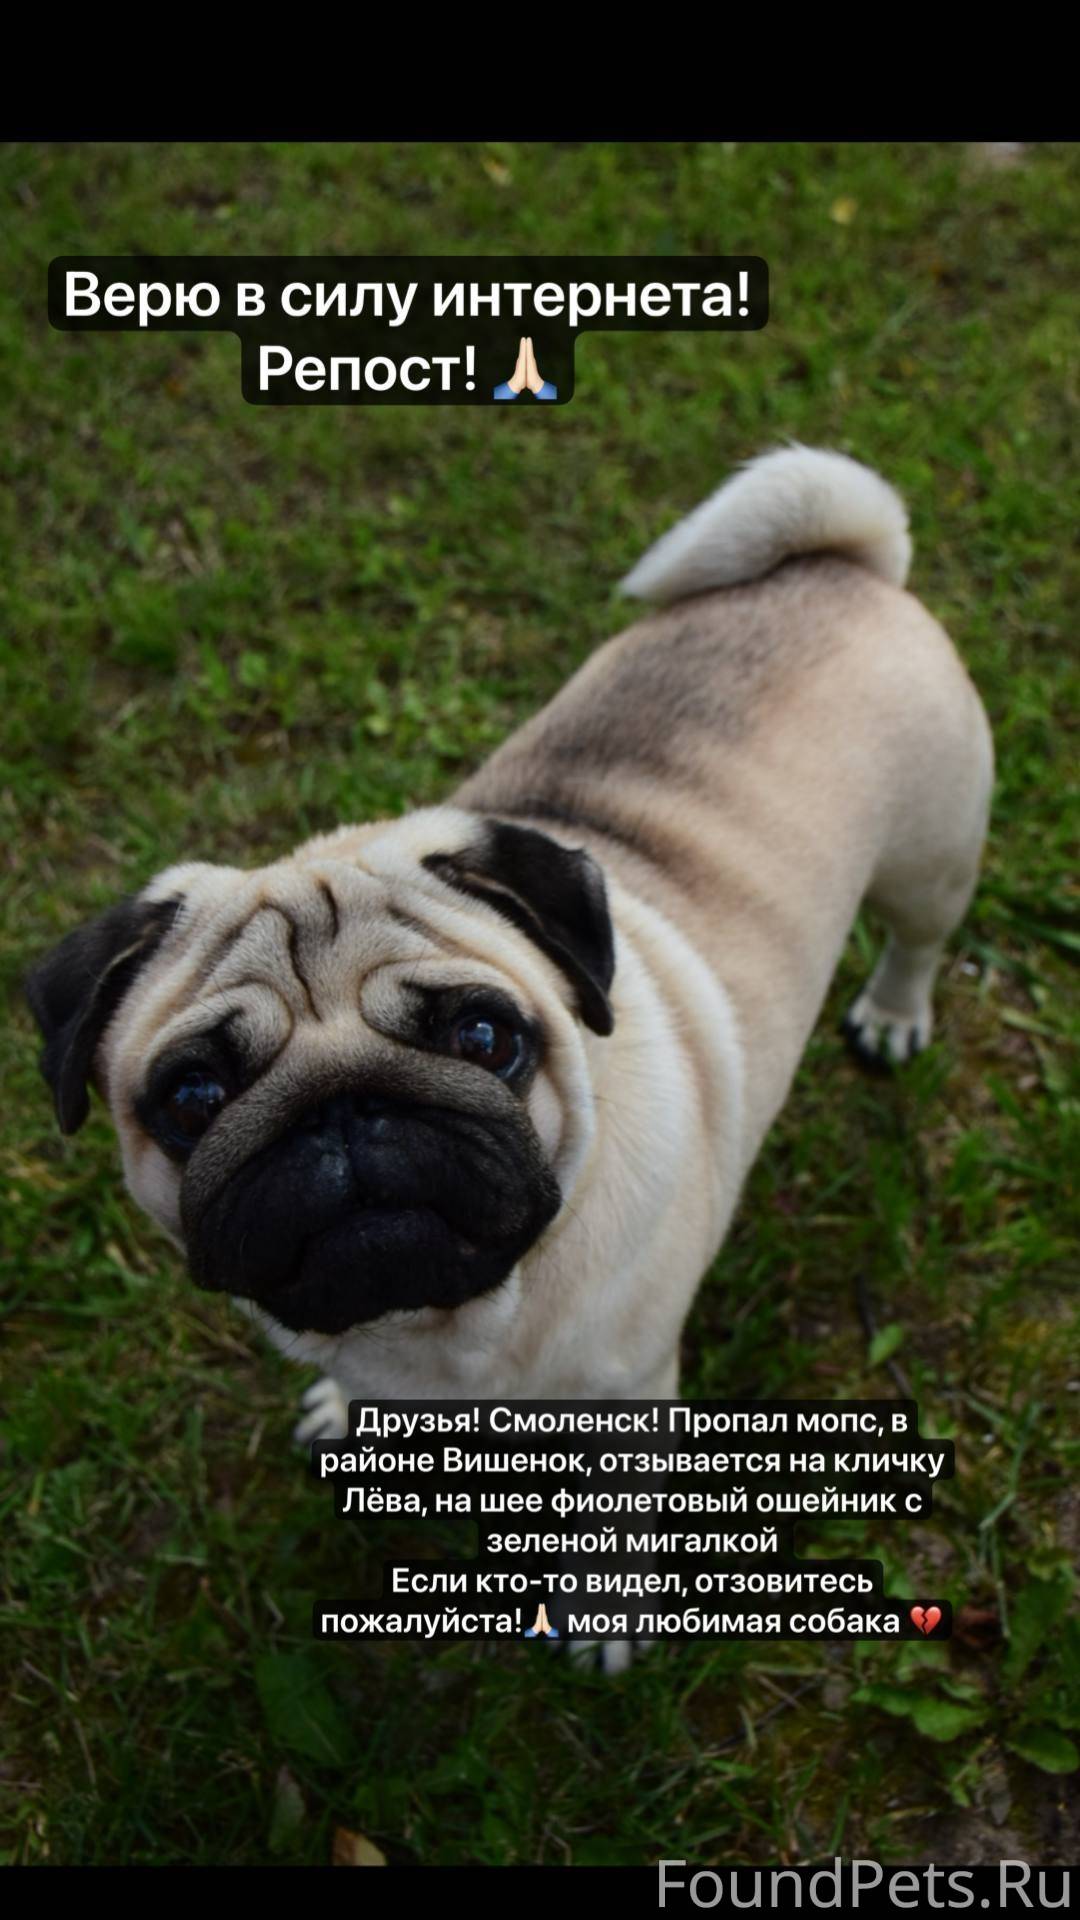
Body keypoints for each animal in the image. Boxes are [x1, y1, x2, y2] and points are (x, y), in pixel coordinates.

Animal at [26, 446, 994, 1453]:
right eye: (194, 1097)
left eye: (485, 1040)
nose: (342, 1104)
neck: (440, 1329)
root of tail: (839, 567)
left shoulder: (625, 1404)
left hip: (931, 862)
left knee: (919, 938)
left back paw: (892, 1015)